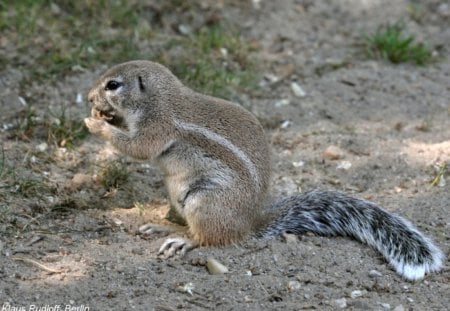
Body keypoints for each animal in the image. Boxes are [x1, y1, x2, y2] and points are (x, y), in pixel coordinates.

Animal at [84, 60, 442, 282]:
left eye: (113, 84)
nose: (88, 97)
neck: (161, 100)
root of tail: (249, 223)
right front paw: (101, 117)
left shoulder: (158, 127)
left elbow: (138, 148)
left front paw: (95, 124)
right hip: (177, 195)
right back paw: (160, 226)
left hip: (204, 201)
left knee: (207, 238)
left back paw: (181, 241)